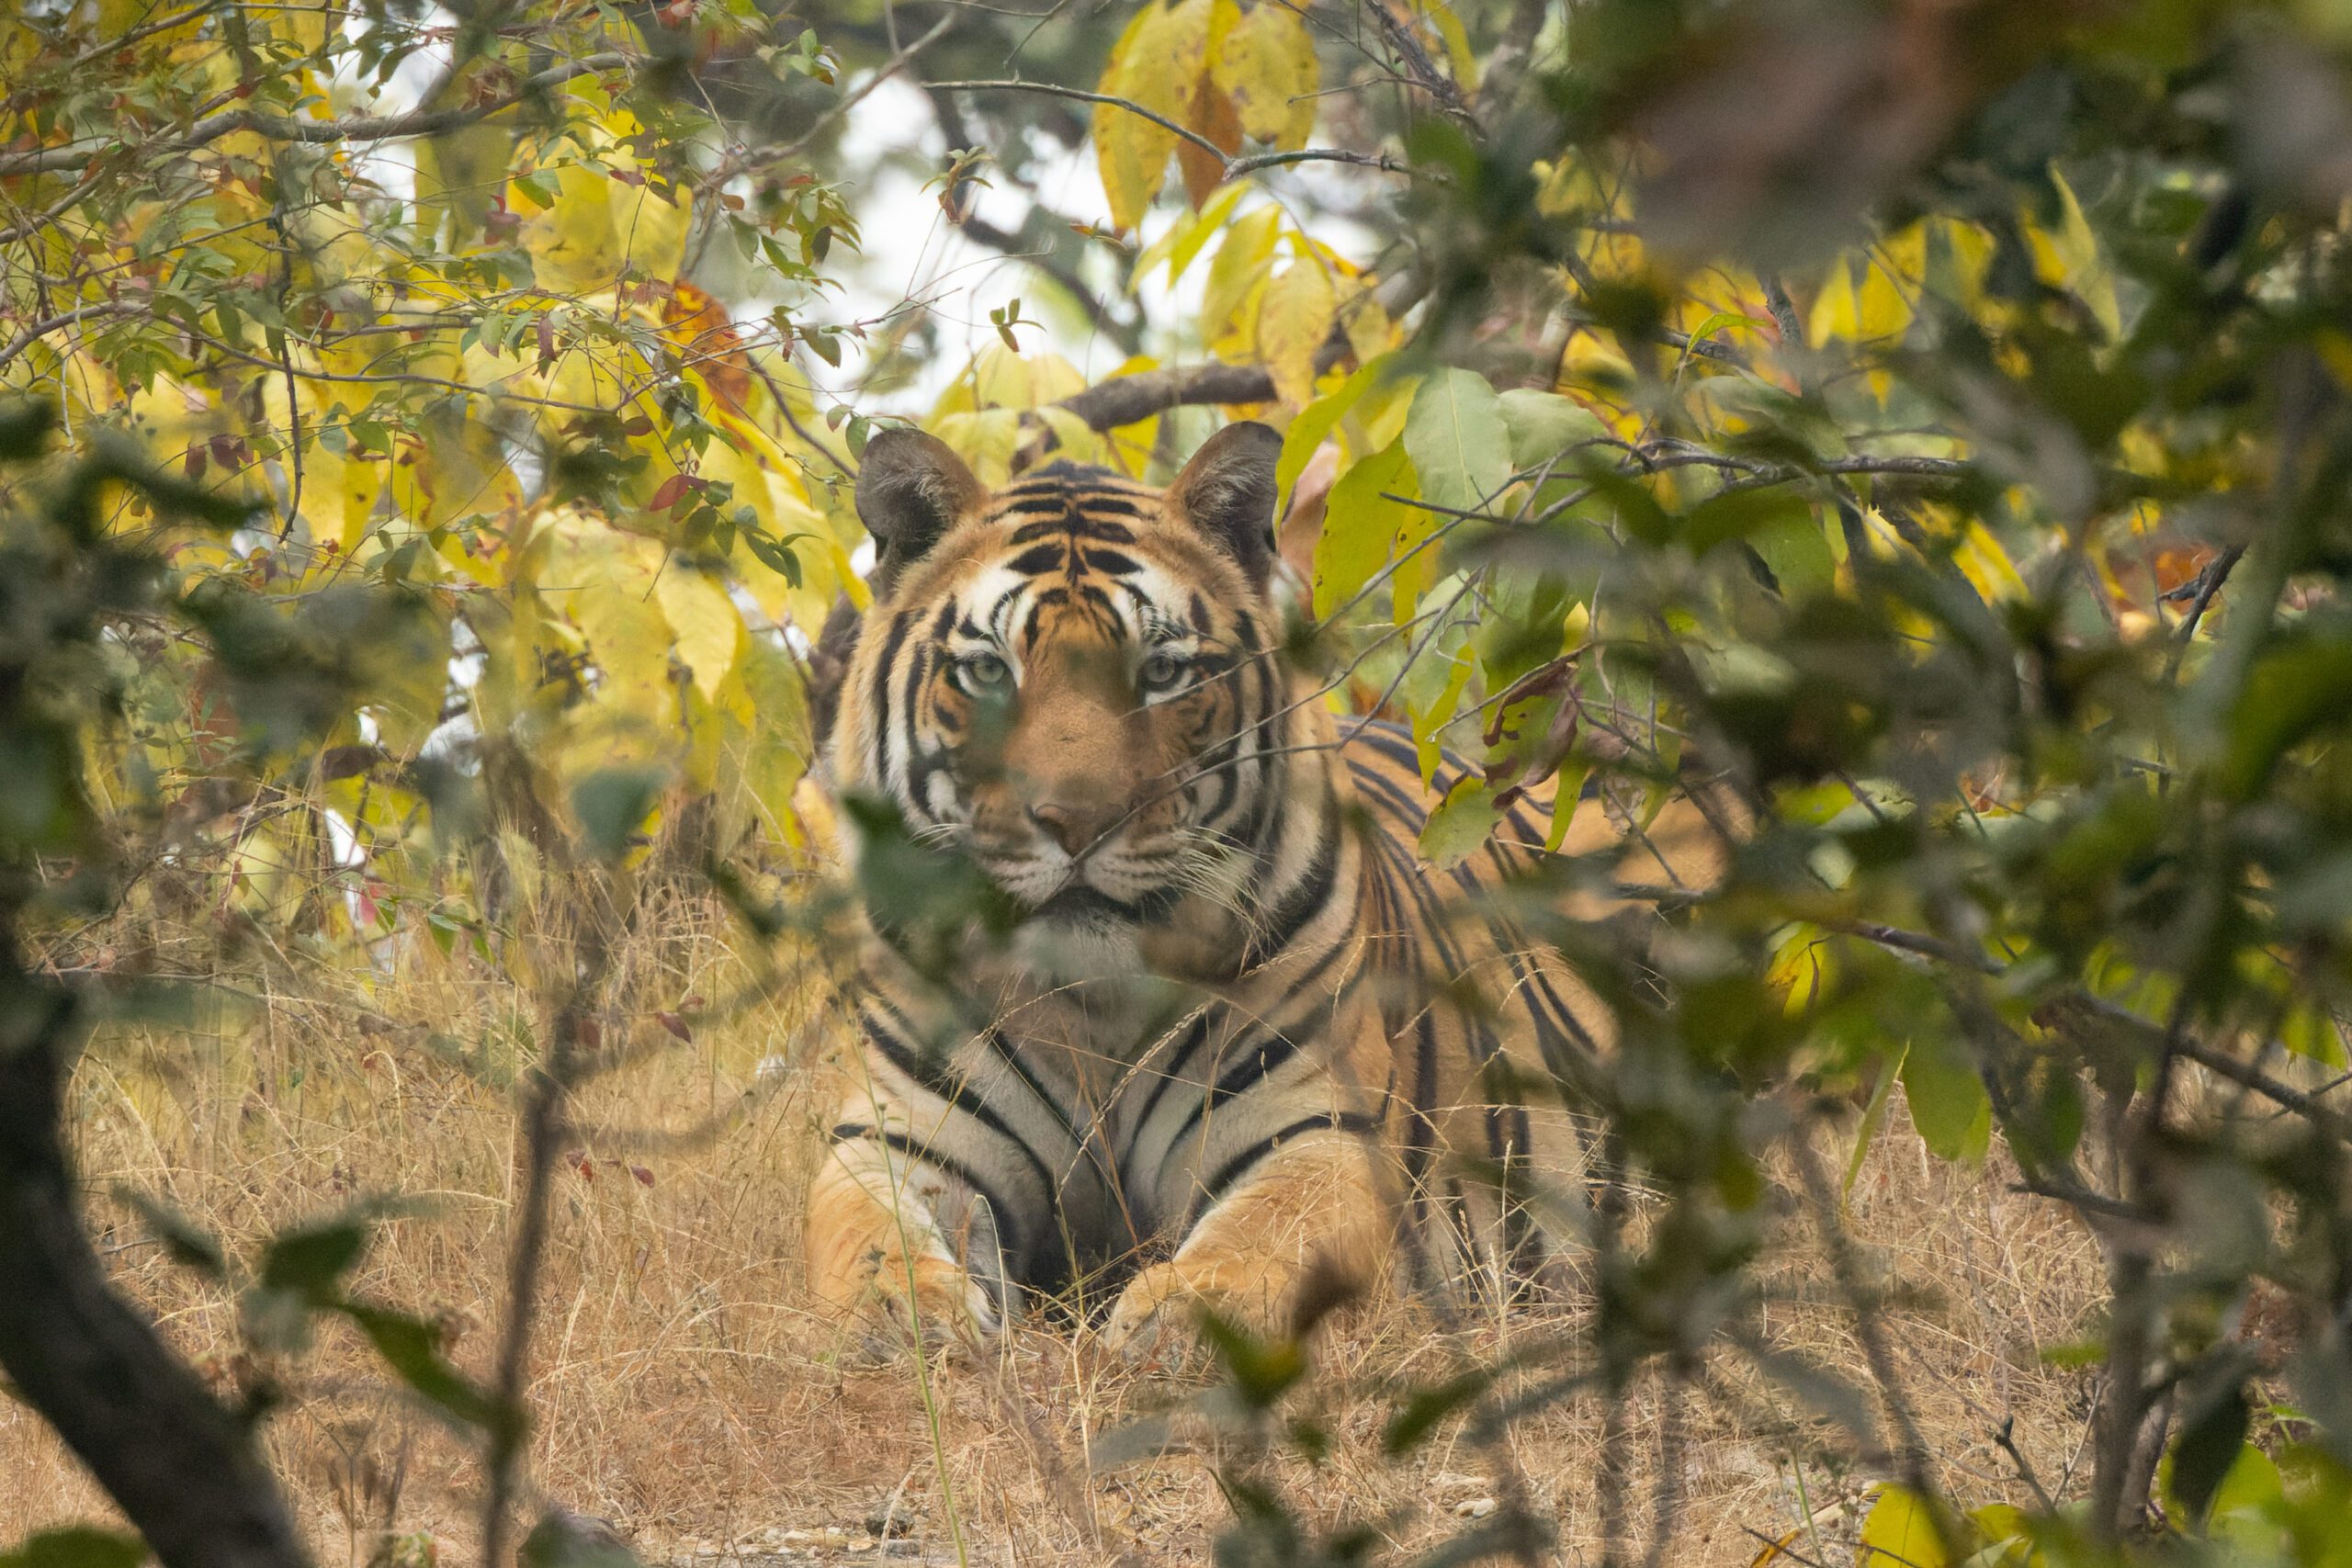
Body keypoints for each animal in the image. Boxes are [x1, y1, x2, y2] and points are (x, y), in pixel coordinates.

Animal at [803, 420, 1734, 1351]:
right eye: (990, 671)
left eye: (1163, 672)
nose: (1077, 820)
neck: (1090, 1006)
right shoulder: (890, 1139)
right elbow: (864, 1239)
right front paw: (906, 1317)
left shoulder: (1321, 1134)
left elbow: (1265, 1235)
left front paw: (1181, 1313)